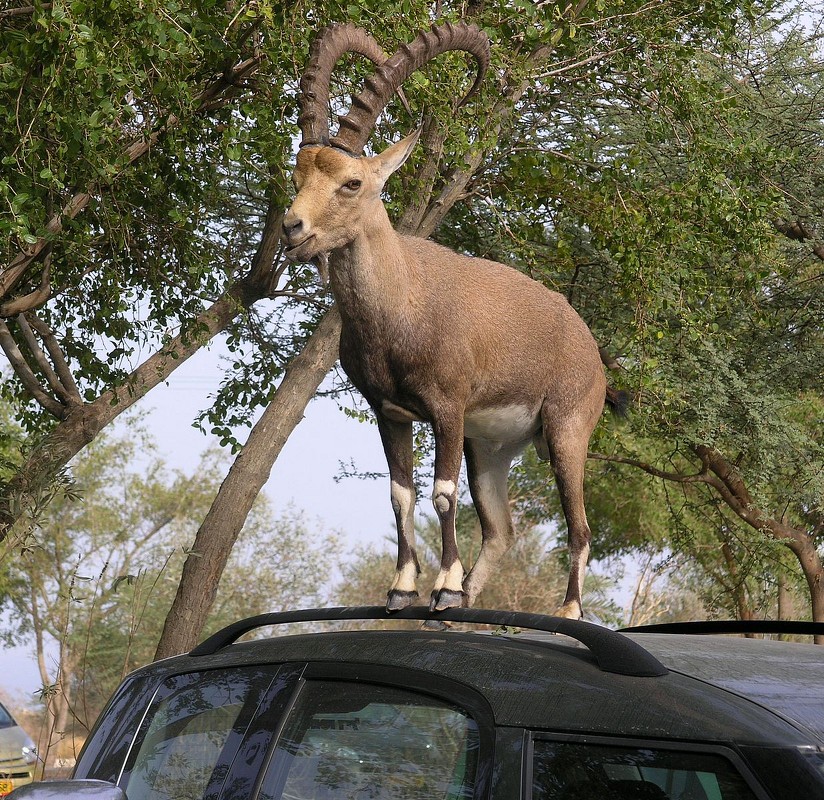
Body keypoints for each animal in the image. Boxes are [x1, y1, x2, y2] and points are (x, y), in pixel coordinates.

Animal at [284, 18, 624, 620]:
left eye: (352, 182)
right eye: (297, 175)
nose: (292, 228)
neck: (402, 304)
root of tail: (592, 351)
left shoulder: (447, 406)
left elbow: (442, 495)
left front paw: (441, 585)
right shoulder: (391, 412)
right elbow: (400, 494)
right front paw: (403, 588)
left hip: (567, 430)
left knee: (580, 528)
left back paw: (564, 611)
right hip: (490, 445)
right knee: (502, 527)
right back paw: (469, 597)